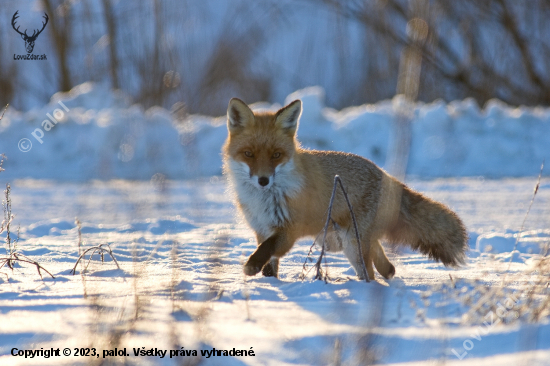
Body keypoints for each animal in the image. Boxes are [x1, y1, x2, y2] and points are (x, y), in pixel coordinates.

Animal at [224, 98, 470, 280]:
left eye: (276, 155)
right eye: (249, 154)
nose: (263, 180)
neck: (264, 200)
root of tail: (384, 173)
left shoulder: (289, 230)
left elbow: (267, 249)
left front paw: (252, 266)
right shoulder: (261, 228)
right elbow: (270, 263)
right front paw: (269, 282)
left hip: (350, 243)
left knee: (369, 273)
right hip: (342, 241)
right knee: (383, 261)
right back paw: (387, 274)